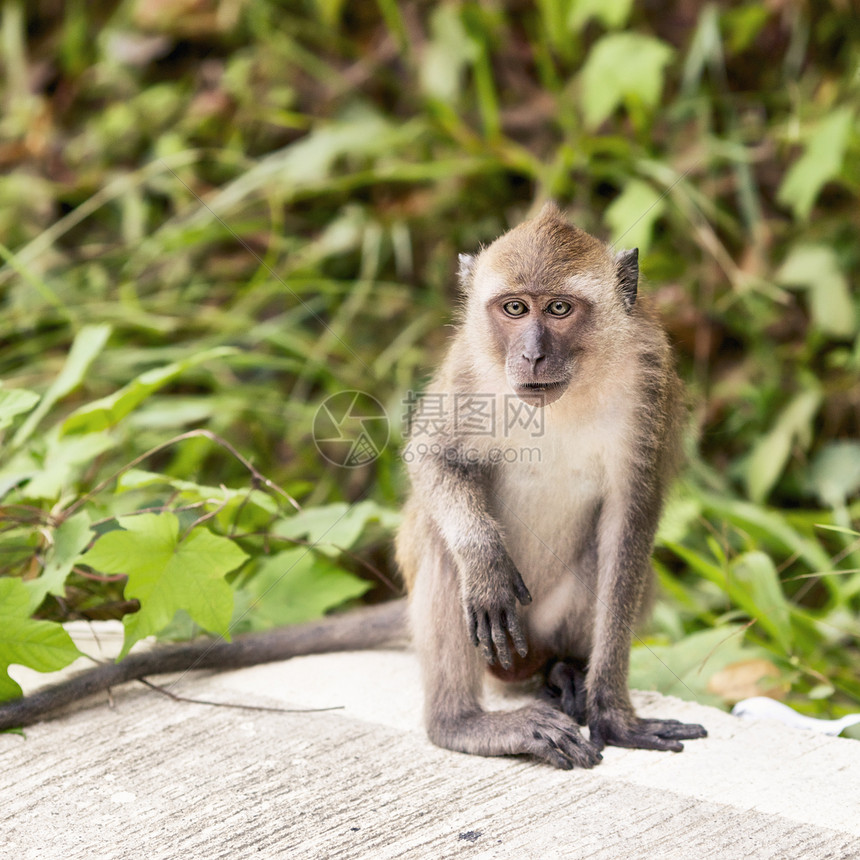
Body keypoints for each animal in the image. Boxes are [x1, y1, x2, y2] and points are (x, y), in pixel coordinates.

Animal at [0, 203, 704, 772]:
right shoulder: (469, 367)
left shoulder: (651, 382)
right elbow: (434, 457)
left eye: (559, 308)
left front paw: (611, 712)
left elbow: (629, 526)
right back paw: (464, 722)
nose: (530, 355)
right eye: (514, 308)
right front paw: (483, 562)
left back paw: (560, 673)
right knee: (443, 553)